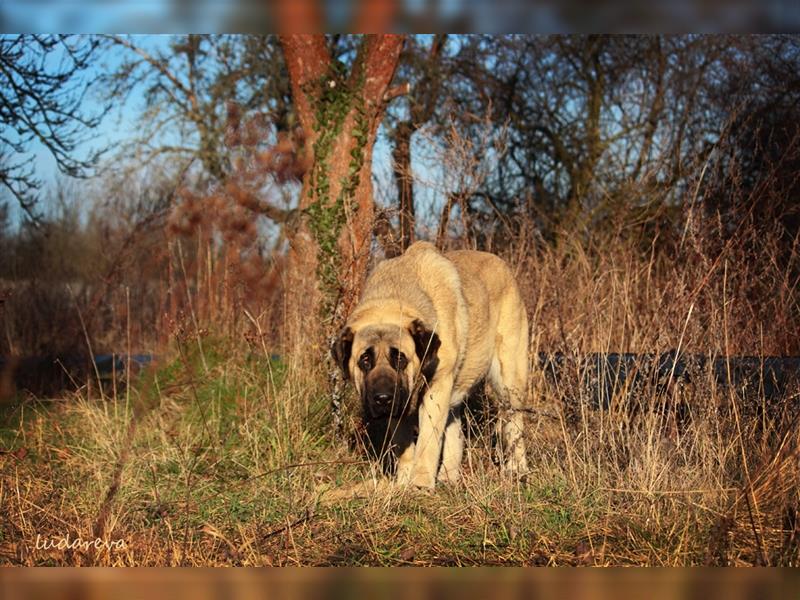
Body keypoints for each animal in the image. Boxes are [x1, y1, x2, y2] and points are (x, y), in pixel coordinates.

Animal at [332, 239, 532, 488]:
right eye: (365, 359)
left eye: (400, 358)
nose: (383, 399)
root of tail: (502, 264)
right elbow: (403, 443)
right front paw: (403, 482)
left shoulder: (436, 387)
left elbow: (428, 441)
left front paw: (420, 483)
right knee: (456, 429)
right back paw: (448, 476)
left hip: (508, 381)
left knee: (514, 423)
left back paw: (517, 469)